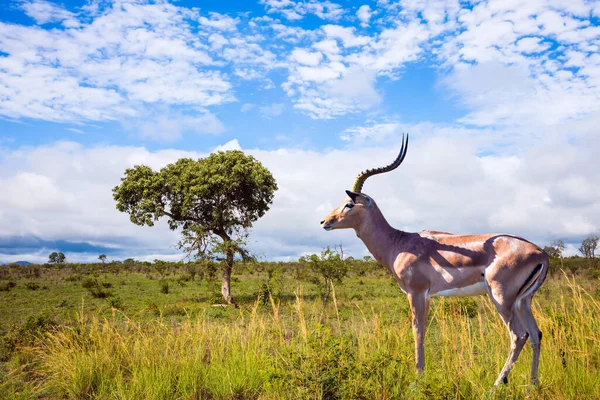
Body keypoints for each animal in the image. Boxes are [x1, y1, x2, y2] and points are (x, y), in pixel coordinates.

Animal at [322, 135, 552, 388]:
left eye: (349, 204)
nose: (324, 221)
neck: (399, 243)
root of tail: (541, 253)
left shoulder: (415, 292)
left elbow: (417, 330)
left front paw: (417, 377)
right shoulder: (427, 296)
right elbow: (422, 329)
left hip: (502, 299)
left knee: (519, 335)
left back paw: (496, 385)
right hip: (524, 301)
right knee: (536, 334)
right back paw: (533, 384)